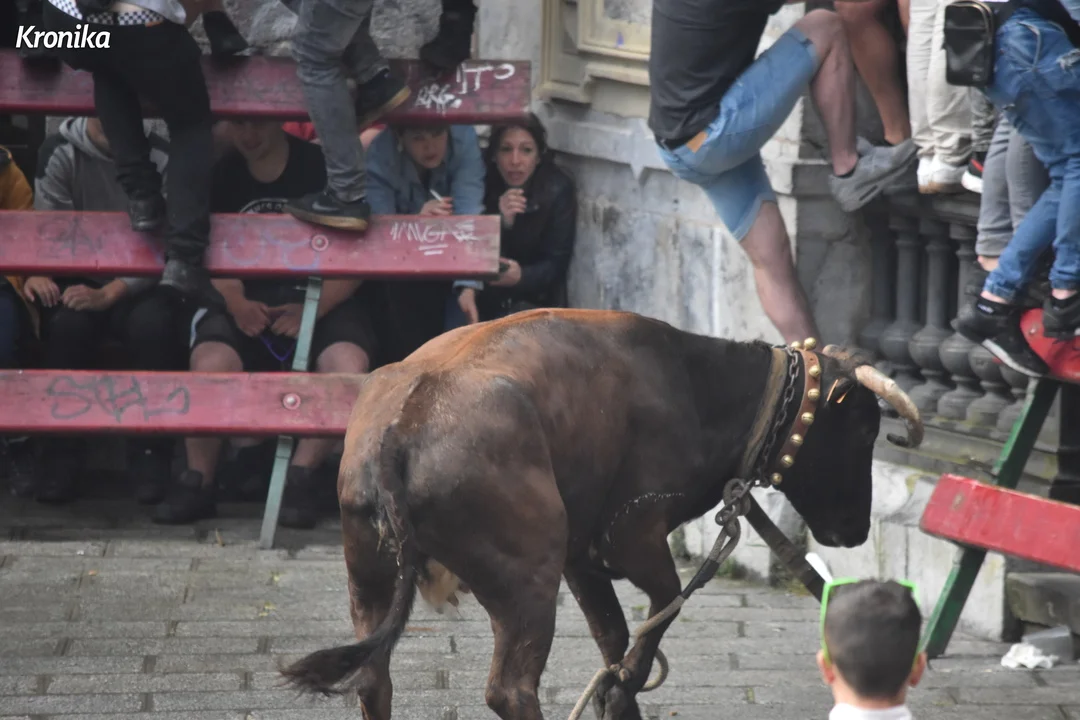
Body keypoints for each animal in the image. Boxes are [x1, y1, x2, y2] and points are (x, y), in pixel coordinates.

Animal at [279, 308, 923, 720]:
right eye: (863, 430)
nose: (855, 529)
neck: (694, 383)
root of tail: (407, 418)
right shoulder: (634, 538)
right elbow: (653, 623)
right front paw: (620, 694)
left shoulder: (582, 559)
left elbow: (615, 641)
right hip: (525, 583)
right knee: (510, 691)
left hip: (369, 575)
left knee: (373, 679)